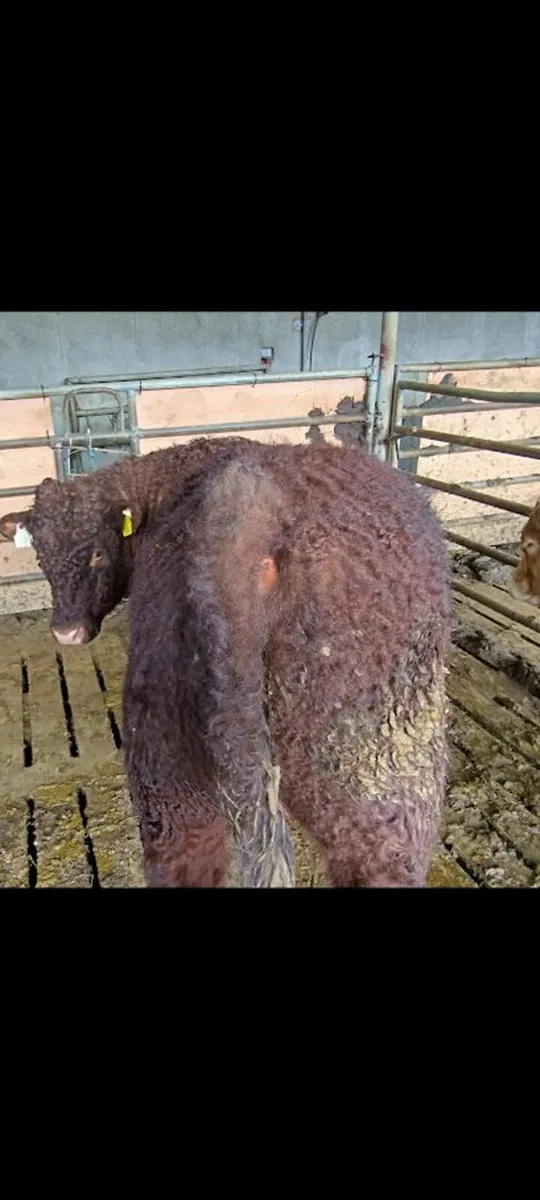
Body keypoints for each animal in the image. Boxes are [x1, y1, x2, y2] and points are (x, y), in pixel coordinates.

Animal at [0, 438, 452, 887]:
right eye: (41, 555)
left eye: (97, 554)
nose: (66, 631)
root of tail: (246, 506)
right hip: (375, 766)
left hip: (165, 758)